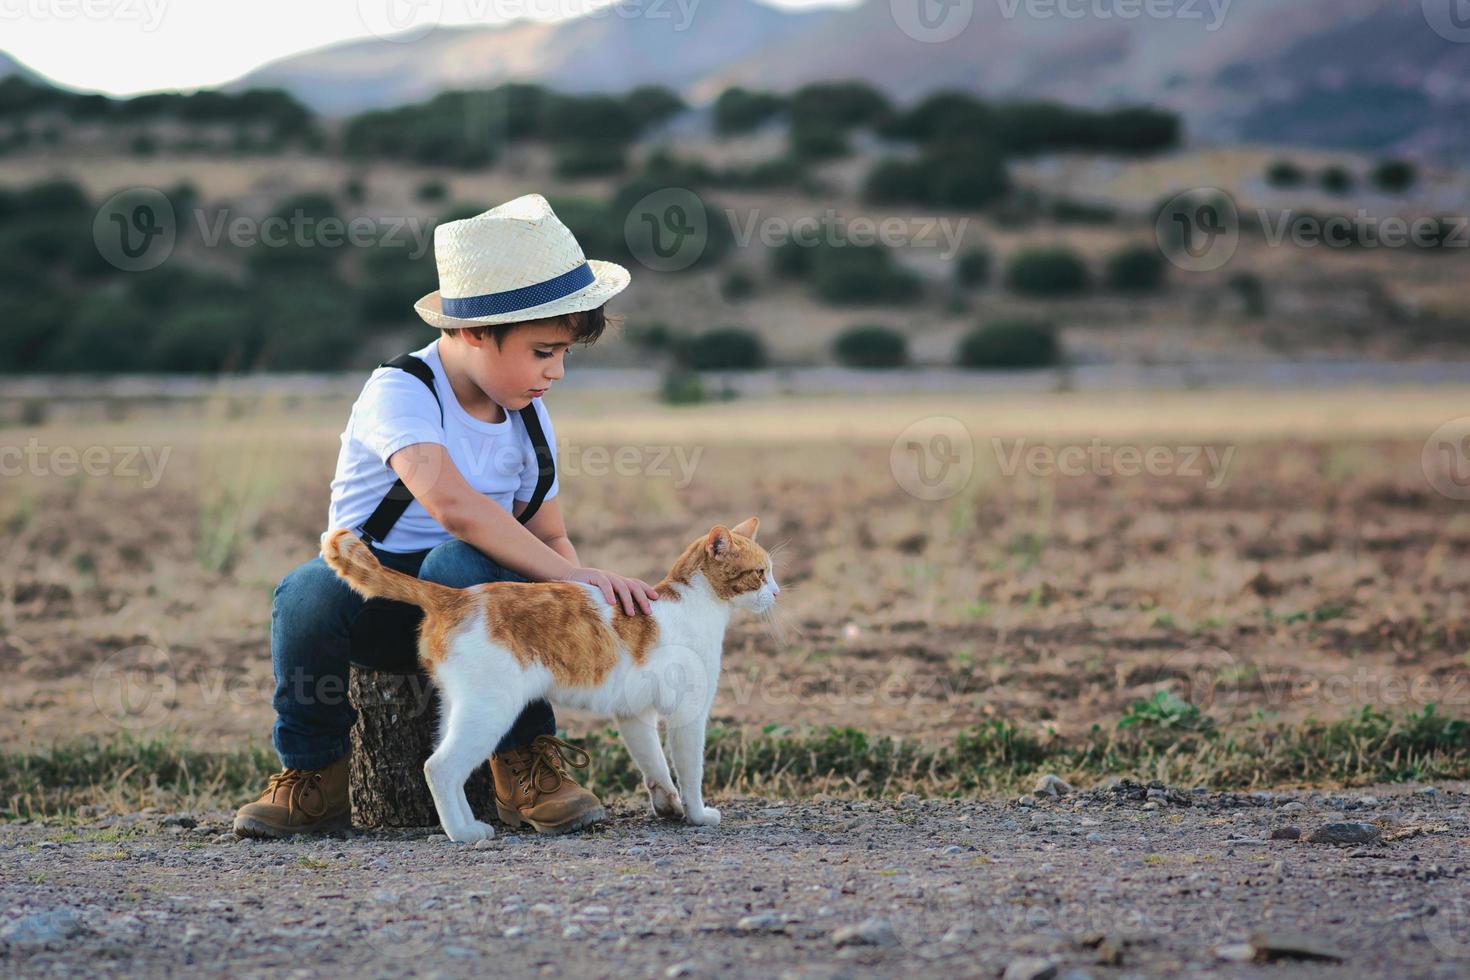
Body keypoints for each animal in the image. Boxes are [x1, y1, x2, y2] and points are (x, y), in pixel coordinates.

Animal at [321, 517, 782, 846]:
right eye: (760, 573)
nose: (778, 593)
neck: (689, 603)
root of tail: (456, 596)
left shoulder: (634, 715)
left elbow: (654, 766)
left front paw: (667, 807)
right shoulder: (688, 714)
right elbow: (689, 771)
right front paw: (698, 815)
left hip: (457, 708)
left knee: (442, 765)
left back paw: (469, 823)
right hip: (490, 711)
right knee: (440, 767)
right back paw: (464, 834)